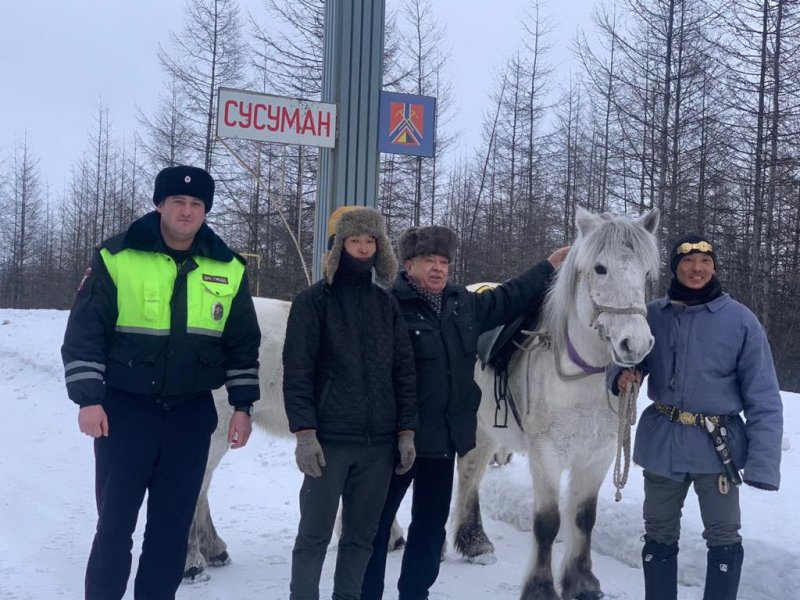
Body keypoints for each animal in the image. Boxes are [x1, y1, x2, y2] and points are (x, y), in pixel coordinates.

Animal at [454, 207, 660, 600]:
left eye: (646, 274)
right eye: (599, 268)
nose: (635, 344)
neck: (581, 379)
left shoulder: (597, 456)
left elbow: (583, 518)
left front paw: (582, 582)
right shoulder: (546, 455)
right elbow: (548, 522)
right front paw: (540, 587)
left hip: (485, 429)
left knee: (471, 473)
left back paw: (473, 542)